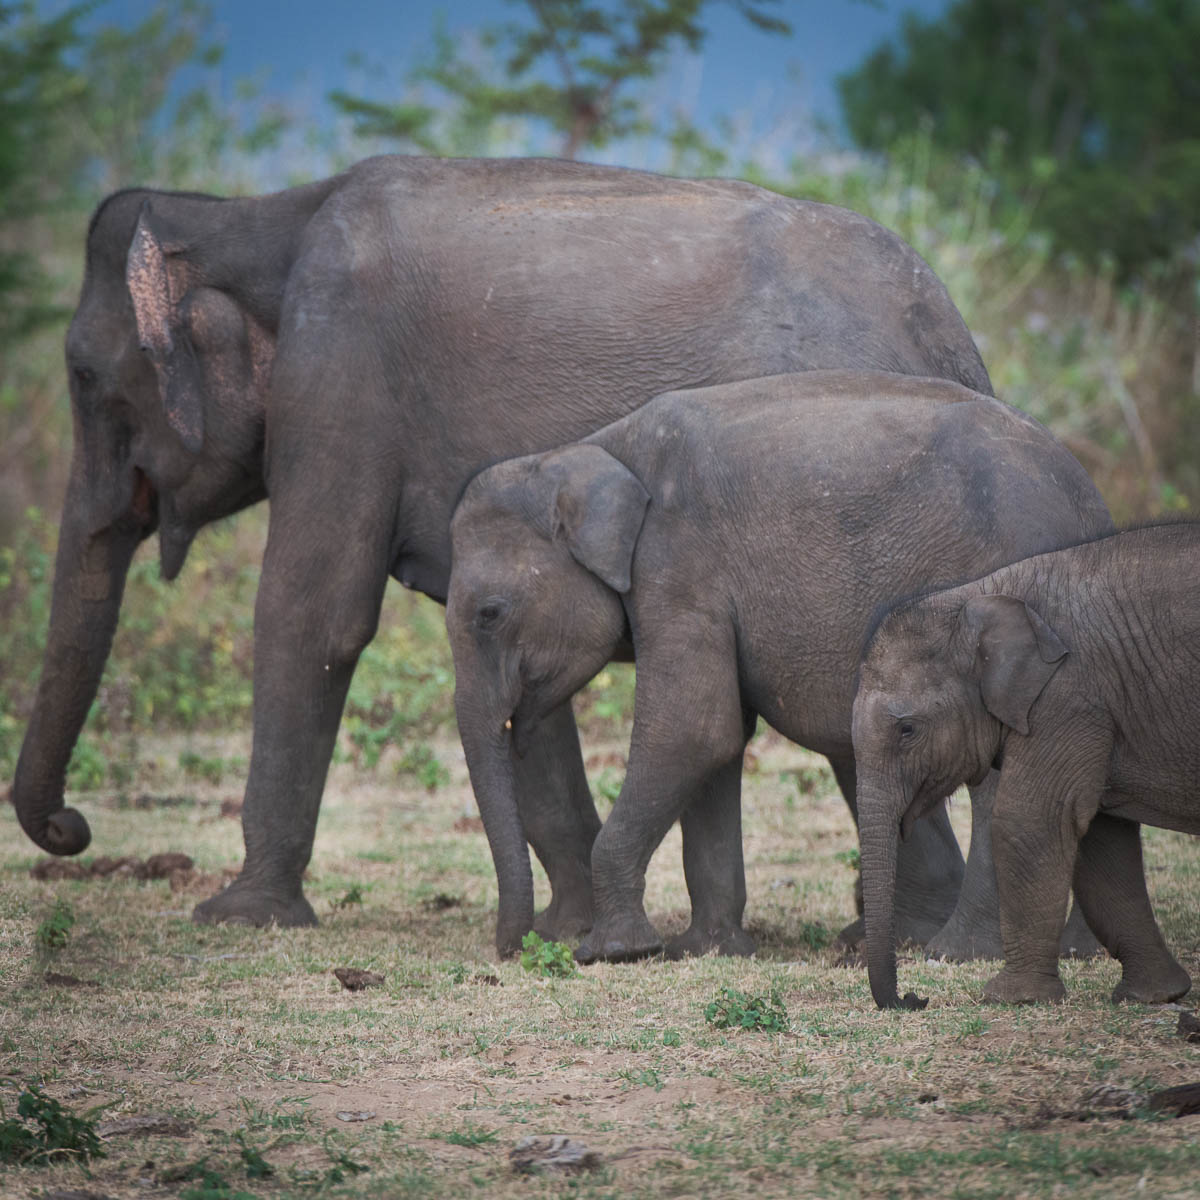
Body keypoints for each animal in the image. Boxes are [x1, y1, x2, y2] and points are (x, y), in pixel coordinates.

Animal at [11, 152, 996, 945]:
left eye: (85, 377)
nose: (70, 828)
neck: (250, 216)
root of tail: (952, 333)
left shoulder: (337, 378)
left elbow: (313, 614)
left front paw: (238, 919)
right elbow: (529, 680)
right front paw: (566, 930)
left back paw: (912, 936)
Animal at [444, 370, 1113, 961]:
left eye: (490, 614)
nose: (515, 948)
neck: (590, 451)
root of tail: (1092, 502)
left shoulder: (678, 569)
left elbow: (692, 728)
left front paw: (612, 953)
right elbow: (719, 740)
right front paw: (708, 951)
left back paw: (956, 953)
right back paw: (1079, 951)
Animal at [852, 522, 1198, 1009]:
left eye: (907, 731)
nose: (916, 998)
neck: (977, 595)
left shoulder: (1068, 696)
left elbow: (1029, 820)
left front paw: (1010, 998)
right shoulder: (1095, 712)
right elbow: (1102, 843)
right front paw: (1152, 996)